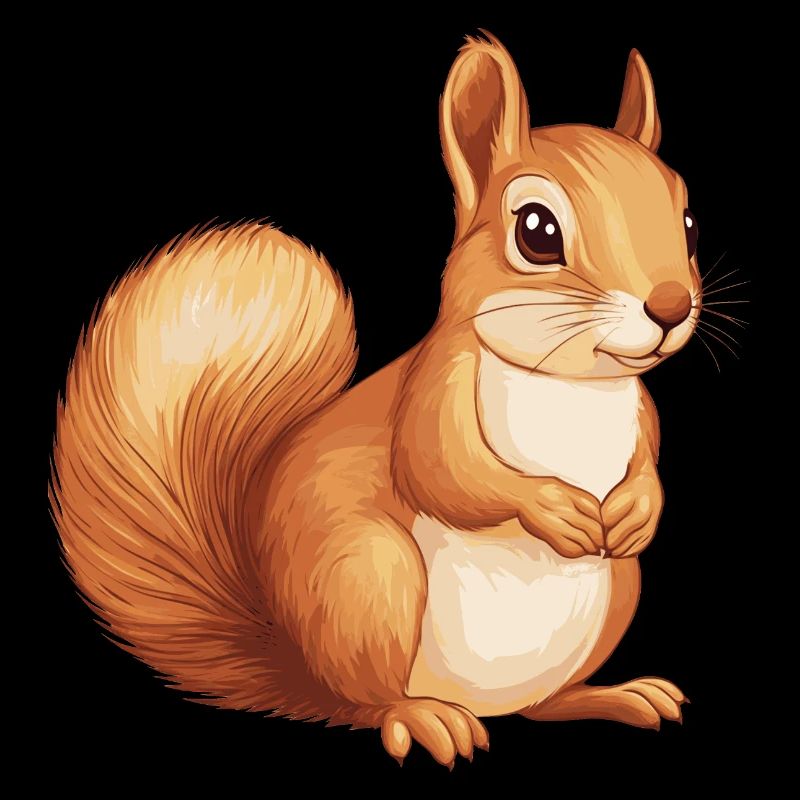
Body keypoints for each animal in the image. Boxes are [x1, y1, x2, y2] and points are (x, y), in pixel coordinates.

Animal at [50, 35, 697, 767]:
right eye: (537, 230)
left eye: (688, 221)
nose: (671, 306)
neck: (574, 385)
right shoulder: (432, 391)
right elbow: (445, 472)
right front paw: (551, 507)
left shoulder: (644, 413)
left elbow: (646, 466)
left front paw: (640, 507)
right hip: (370, 581)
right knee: (369, 704)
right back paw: (425, 719)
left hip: (619, 591)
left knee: (543, 704)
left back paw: (615, 696)